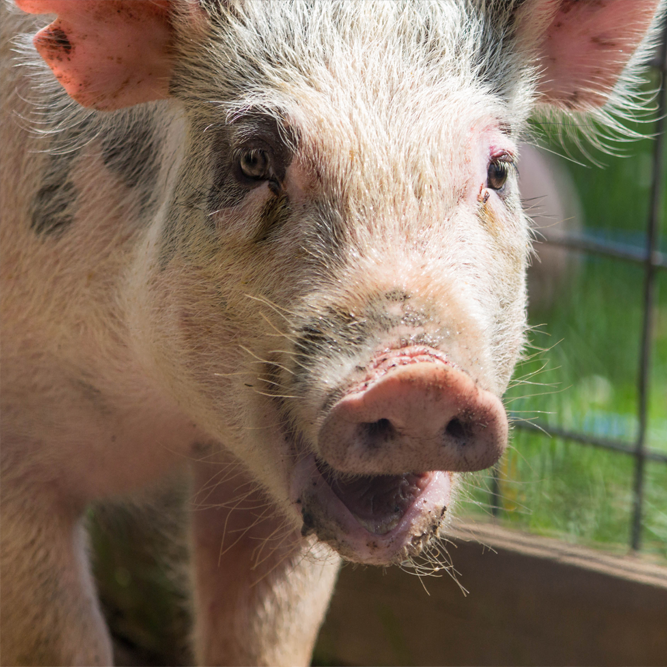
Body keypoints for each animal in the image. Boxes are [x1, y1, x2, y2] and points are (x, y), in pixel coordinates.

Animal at [1, 0, 664, 664]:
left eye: (500, 172)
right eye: (252, 160)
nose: (416, 379)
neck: (166, 415)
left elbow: (267, 634)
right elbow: (60, 643)